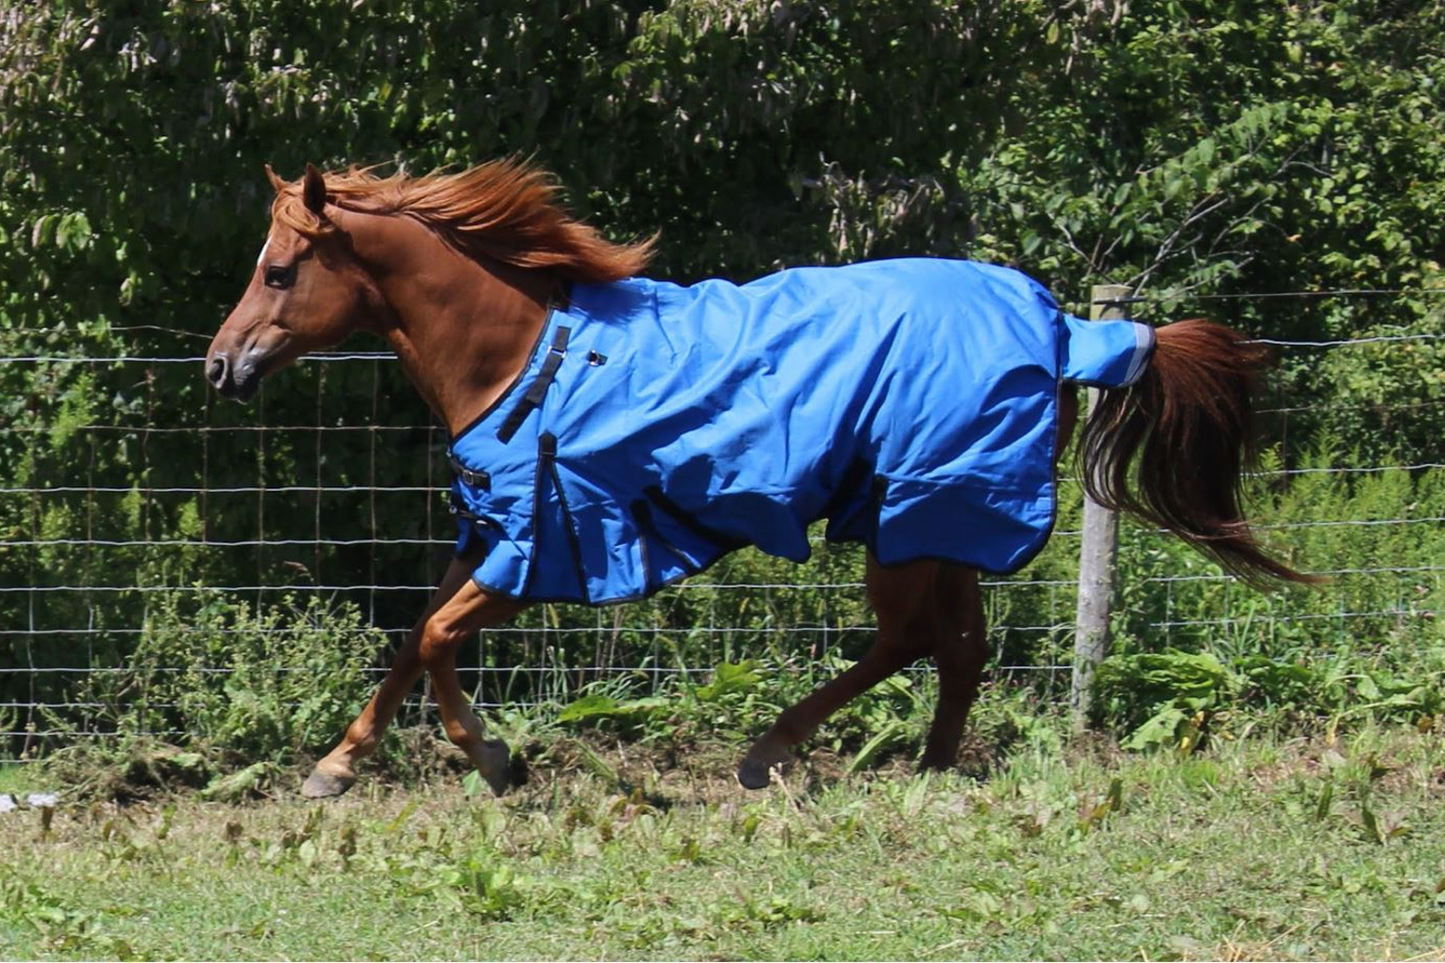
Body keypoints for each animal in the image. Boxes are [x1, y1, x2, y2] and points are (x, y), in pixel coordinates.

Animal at [204, 160, 1316, 799]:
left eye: (275, 271)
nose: (220, 365)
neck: (529, 356)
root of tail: (1063, 325)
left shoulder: (543, 546)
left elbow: (436, 637)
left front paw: (492, 758)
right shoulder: (491, 532)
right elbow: (409, 640)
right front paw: (336, 765)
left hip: (914, 520)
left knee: (917, 639)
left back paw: (775, 750)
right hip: (928, 518)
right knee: (955, 645)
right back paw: (922, 767)